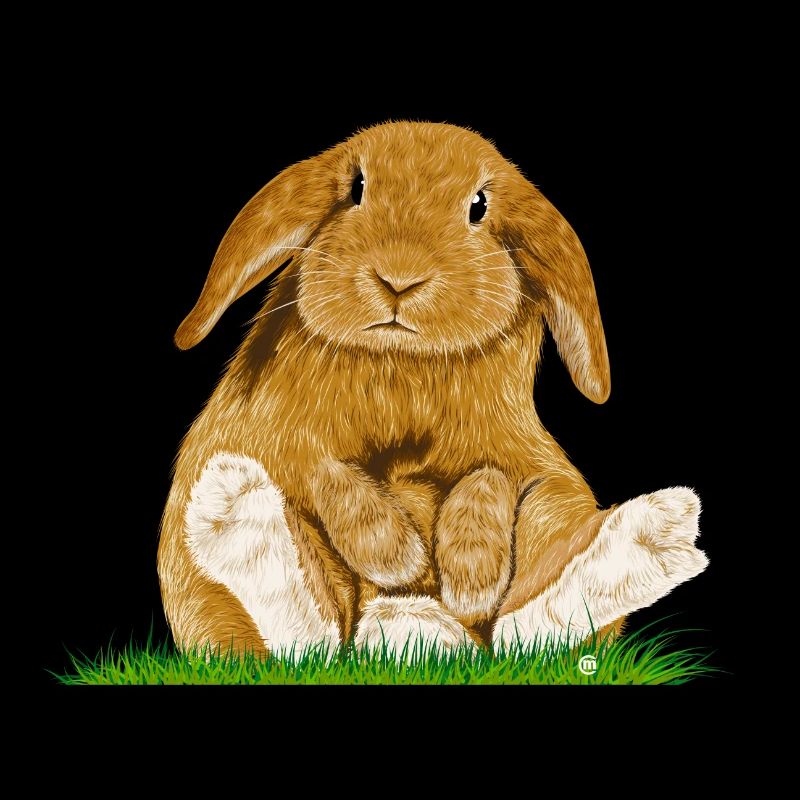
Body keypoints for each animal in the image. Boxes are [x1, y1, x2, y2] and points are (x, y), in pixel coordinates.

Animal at [158, 121, 708, 657]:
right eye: (356, 189)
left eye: (478, 206)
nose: (399, 279)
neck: (403, 365)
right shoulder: (278, 436)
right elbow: (325, 470)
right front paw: (397, 555)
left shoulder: (518, 455)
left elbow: (490, 475)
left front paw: (471, 576)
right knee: (304, 634)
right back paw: (236, 511)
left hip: (557, 499)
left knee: (535, 621)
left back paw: (657, 535)